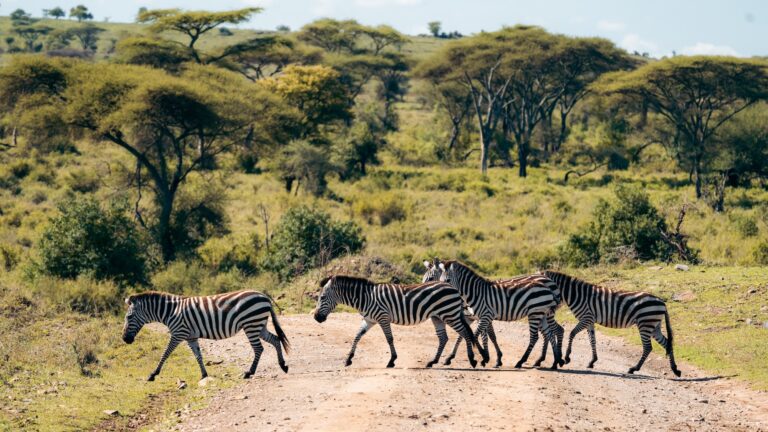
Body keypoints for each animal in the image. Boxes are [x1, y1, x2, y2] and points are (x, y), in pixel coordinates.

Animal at [122, 290, 290, 381]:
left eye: (129, 317)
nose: (125, 339)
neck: (171, 312)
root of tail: (263, 296)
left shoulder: (178, 333)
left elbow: (165, 353)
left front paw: (153, 374)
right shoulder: (191, 337)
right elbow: (198, 356)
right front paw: (204, 375)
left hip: (251, 324)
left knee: (259, 348)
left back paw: (249, 373)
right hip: (259, 325)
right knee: (275, 339)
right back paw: (283, 365)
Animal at [313, 275, 490, 368]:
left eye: (322, 297)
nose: (316, 318)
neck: (366, 298)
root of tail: (454, 289)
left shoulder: (383, 317)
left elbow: (389, 338)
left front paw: (392, 360)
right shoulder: (369, 320)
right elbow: (357, 336)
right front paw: (348, 358)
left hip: (449, 314)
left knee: (465, 333)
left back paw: (472, 360)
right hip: (438, 317)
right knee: (444, 338)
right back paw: (432, 361)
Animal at [423, 260, 564, 369]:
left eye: (447, 279)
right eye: (440, 279)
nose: (429, 292)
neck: (475, 293)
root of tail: (548, 285)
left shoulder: (485, 316)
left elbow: (475, 335)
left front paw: (483, 358)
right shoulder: (480, 317)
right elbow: (479, 336)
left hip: (535, 313)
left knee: (537, 336)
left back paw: (522, 362)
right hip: (542, 314)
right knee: (549, 333)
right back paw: (555, 362)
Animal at [545, 271, 681, 377]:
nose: (549, 310)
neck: (576, 295)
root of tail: (662, 302)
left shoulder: (586, 318)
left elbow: (572, 333)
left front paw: (567, 357)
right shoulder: (590, 321)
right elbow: (592, 340)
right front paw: (592, 361)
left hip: (645, 323)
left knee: (648, 347)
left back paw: (634, 368)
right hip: (654, 326)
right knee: (667, 343)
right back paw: (675, 369)